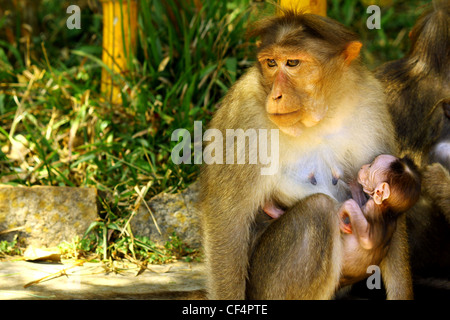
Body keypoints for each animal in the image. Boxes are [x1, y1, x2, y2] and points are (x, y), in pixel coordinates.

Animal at [199, 10, 410, 300]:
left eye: (293, 63)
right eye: (271, 63)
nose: (276, 95)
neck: (321, 117)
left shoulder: (371, 101)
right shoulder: (244, 114)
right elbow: (227, 217)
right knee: (318, 209)